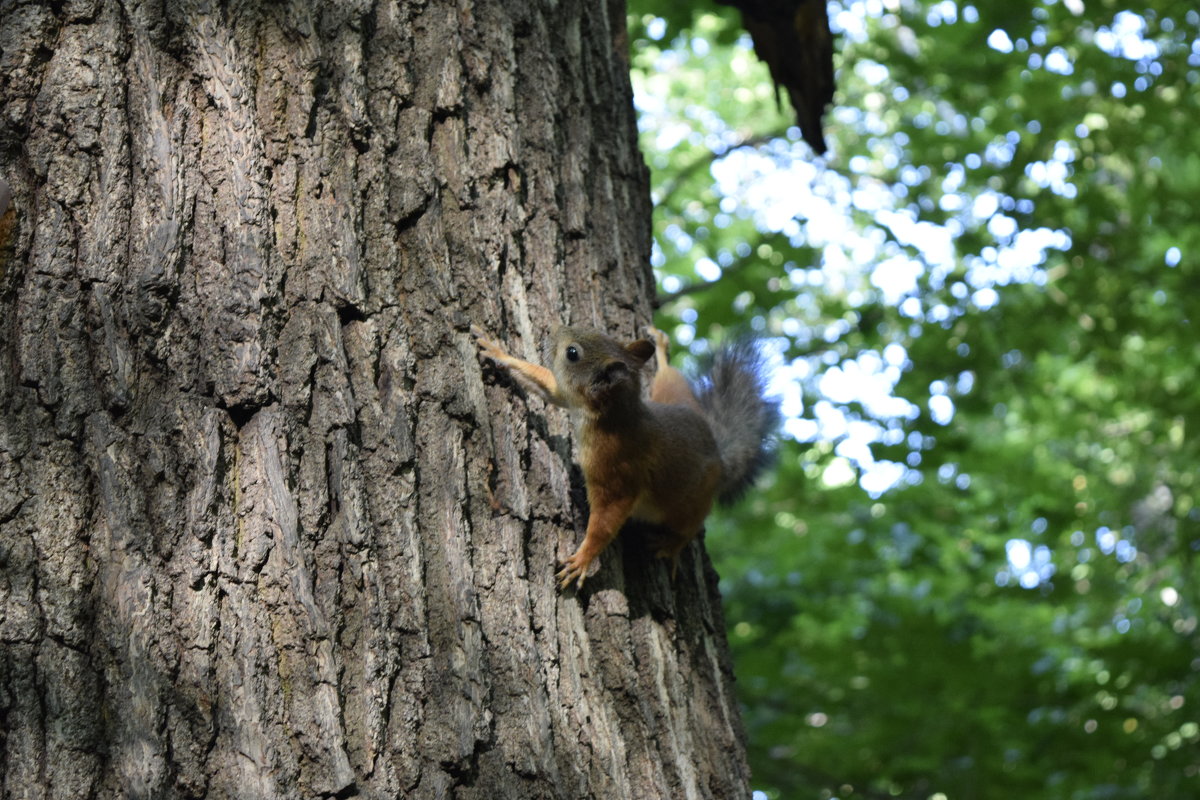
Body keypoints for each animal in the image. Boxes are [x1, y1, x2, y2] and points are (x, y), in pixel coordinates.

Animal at [470, 321, 777, 592]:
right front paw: (496, 350)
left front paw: (583, 561)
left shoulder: (616, 473)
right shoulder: (566, 395)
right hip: (675, 396)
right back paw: (661, 349)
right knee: (670, 377)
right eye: (597, 331)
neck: (615, 414)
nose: (551, 330)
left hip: (688, 505)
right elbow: (545, 381)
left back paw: (671, 547)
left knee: (688, 528)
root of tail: (719, 456)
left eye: (573, 353)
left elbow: (606, 521)